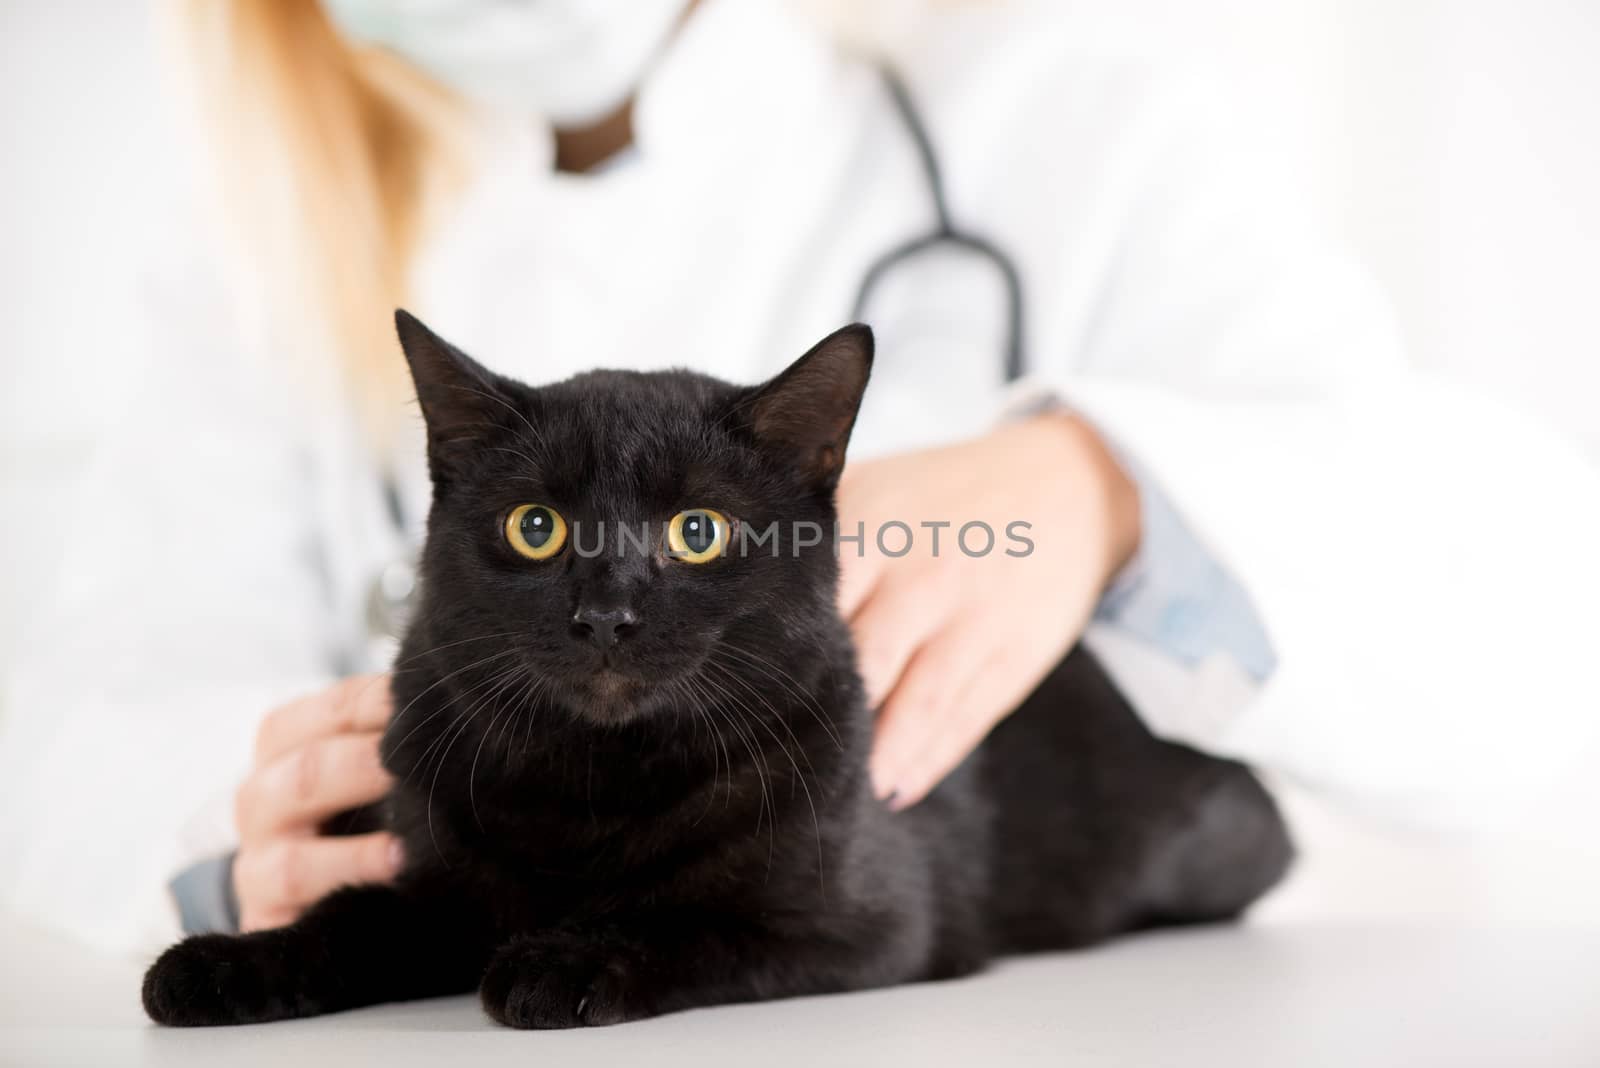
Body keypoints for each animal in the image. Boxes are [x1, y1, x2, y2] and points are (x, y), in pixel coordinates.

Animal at [137, 310, 1286, 1023]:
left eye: (698, 532)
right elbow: (352, 915)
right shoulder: (442, 885)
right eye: (535, 526)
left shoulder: (862, 924)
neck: (591, 790)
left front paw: (566, 961)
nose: (606, 613)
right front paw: (225, 964)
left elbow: (691, 923)